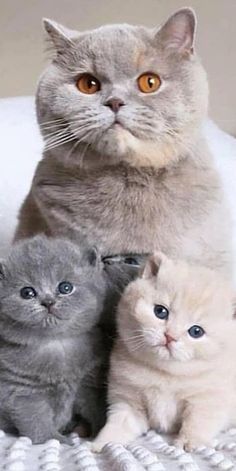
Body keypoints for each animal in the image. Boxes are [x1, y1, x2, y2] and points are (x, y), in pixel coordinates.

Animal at [0, 238, 109, 444]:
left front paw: (98, 432)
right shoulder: (22, 391)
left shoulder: (88, 383)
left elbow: (96, 409)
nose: (48, 302)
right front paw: (56, 440)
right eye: (27, 292)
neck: (57, 343)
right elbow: (37, 422)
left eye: (65, 288)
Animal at [91, 254, 236, 454]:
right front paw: (102, 443)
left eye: (196, 331)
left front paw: (189, 442)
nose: (170, 336)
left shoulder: (208, 399)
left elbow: (198, 422)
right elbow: (118, 425)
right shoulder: (128, 402)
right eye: (160, 311)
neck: (163, 372)